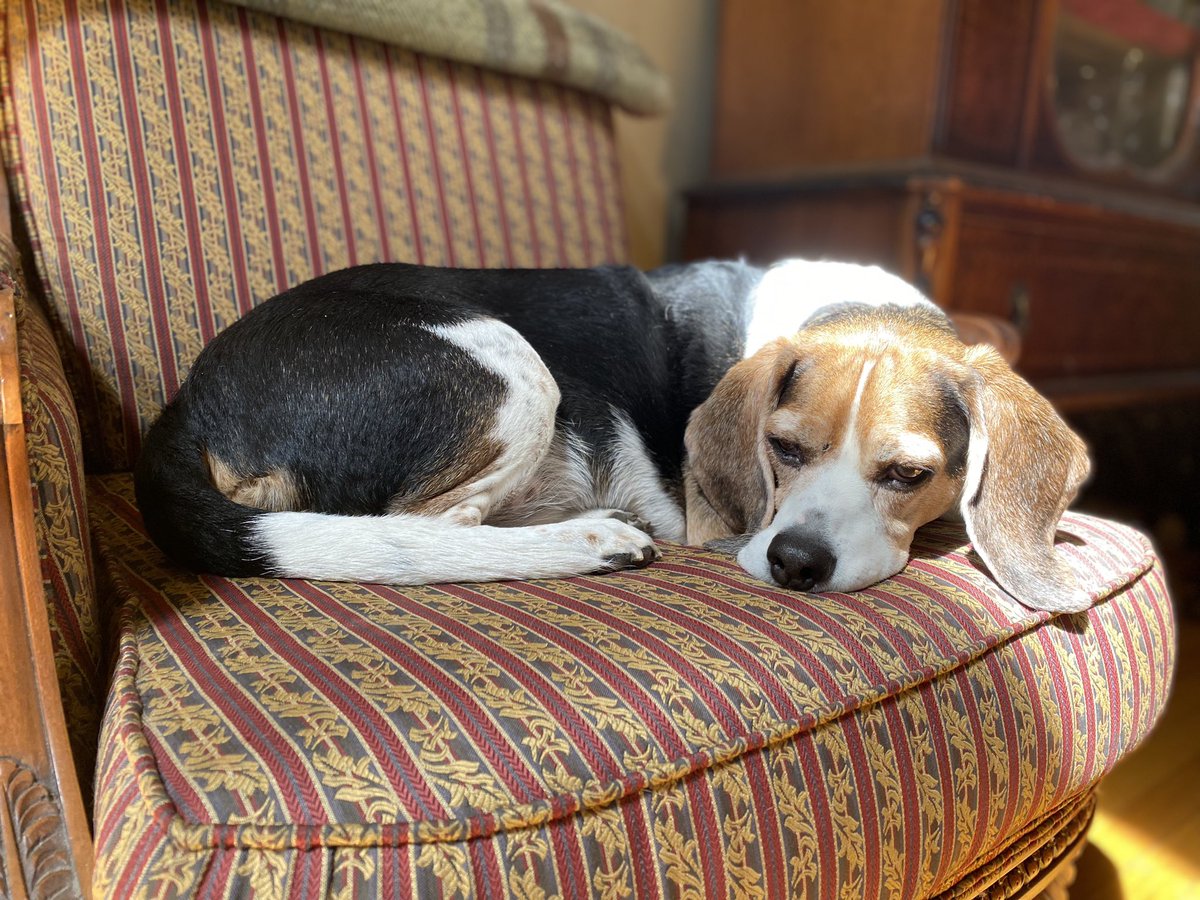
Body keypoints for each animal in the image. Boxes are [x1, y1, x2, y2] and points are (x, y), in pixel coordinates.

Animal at [136, 256, 1094, 619]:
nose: (795, 564)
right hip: (511, 367)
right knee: (423, 535)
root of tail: (187, 403)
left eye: (907, 474)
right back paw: (592, 539)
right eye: (782, 449)